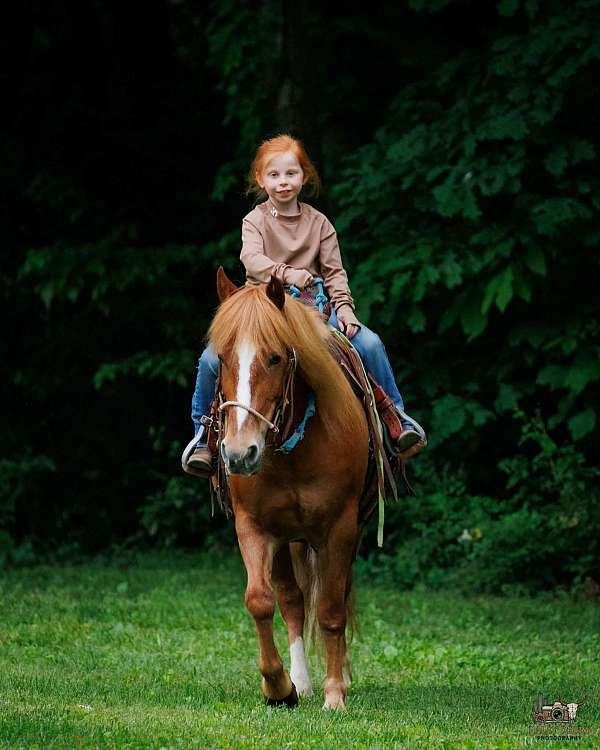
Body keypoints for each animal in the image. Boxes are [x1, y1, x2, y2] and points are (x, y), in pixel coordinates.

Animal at [208, 266, 371, 710]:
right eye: (221, 358)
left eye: (275, 357)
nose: (239, 453)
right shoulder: (254, 527)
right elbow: (261, 600)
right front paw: (279, 686)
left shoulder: (340, 530)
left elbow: (331, 610)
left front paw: (335, 694)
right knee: (293, 601)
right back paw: (301, 680)